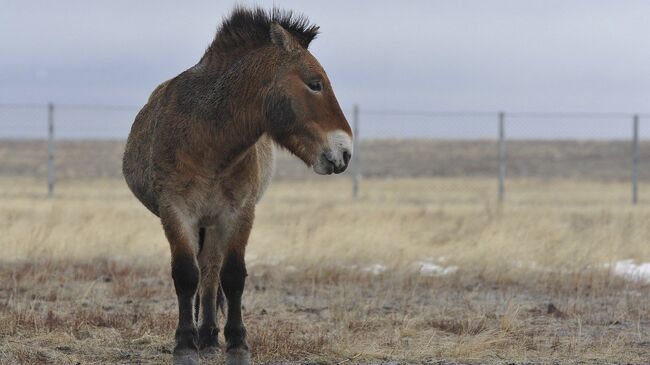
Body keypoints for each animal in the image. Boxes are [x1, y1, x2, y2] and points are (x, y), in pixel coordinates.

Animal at [123, 6, 352, 364]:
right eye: (315, 84)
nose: (345, 152)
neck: (209, 142)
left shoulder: (238, 213)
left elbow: (231, 276)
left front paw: (236, 345)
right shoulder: (176, 212)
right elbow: (185, 275)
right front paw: (184, 345)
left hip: (214, 224)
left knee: (211, 271)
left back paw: (208, 337)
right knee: (202, 272)